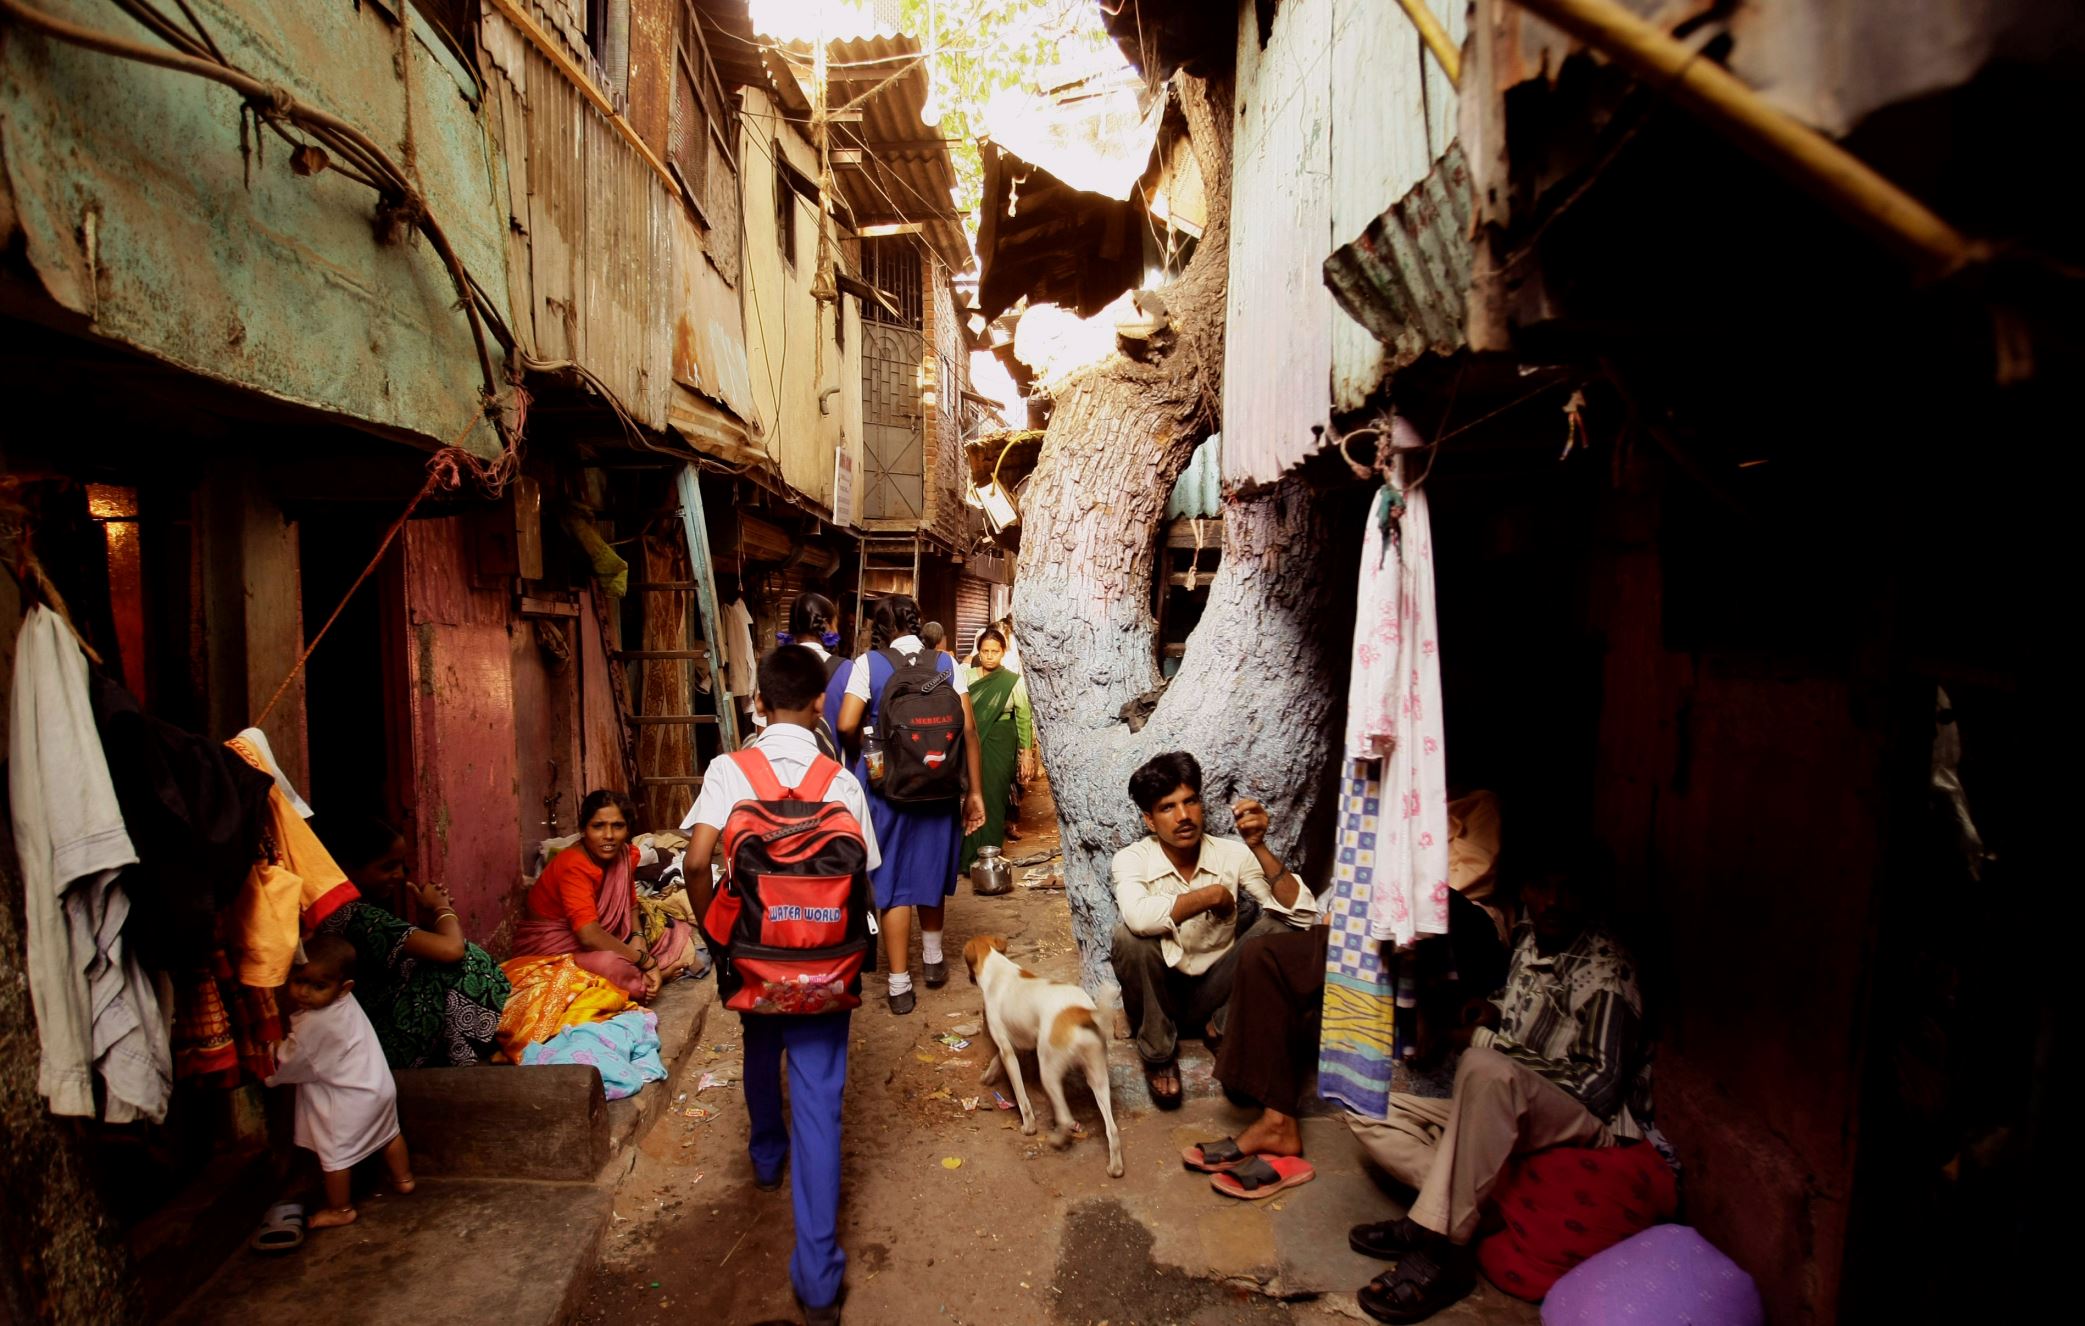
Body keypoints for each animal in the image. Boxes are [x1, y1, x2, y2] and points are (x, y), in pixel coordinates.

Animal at [963, 934, 1125, 1184]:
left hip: (1048, 1072)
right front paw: (988, 1076)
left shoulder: (1007, 1048)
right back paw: (1115, 1168)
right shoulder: (1017, 1044)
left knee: (1066, 1119)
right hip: (1097, 1076)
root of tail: (1081, 1012)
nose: (969, 979)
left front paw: (1028, 1127)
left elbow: (1021, 1097)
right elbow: (996, 1061)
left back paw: (1058, 1140)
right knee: (1112, 1129)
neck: (996, 967)